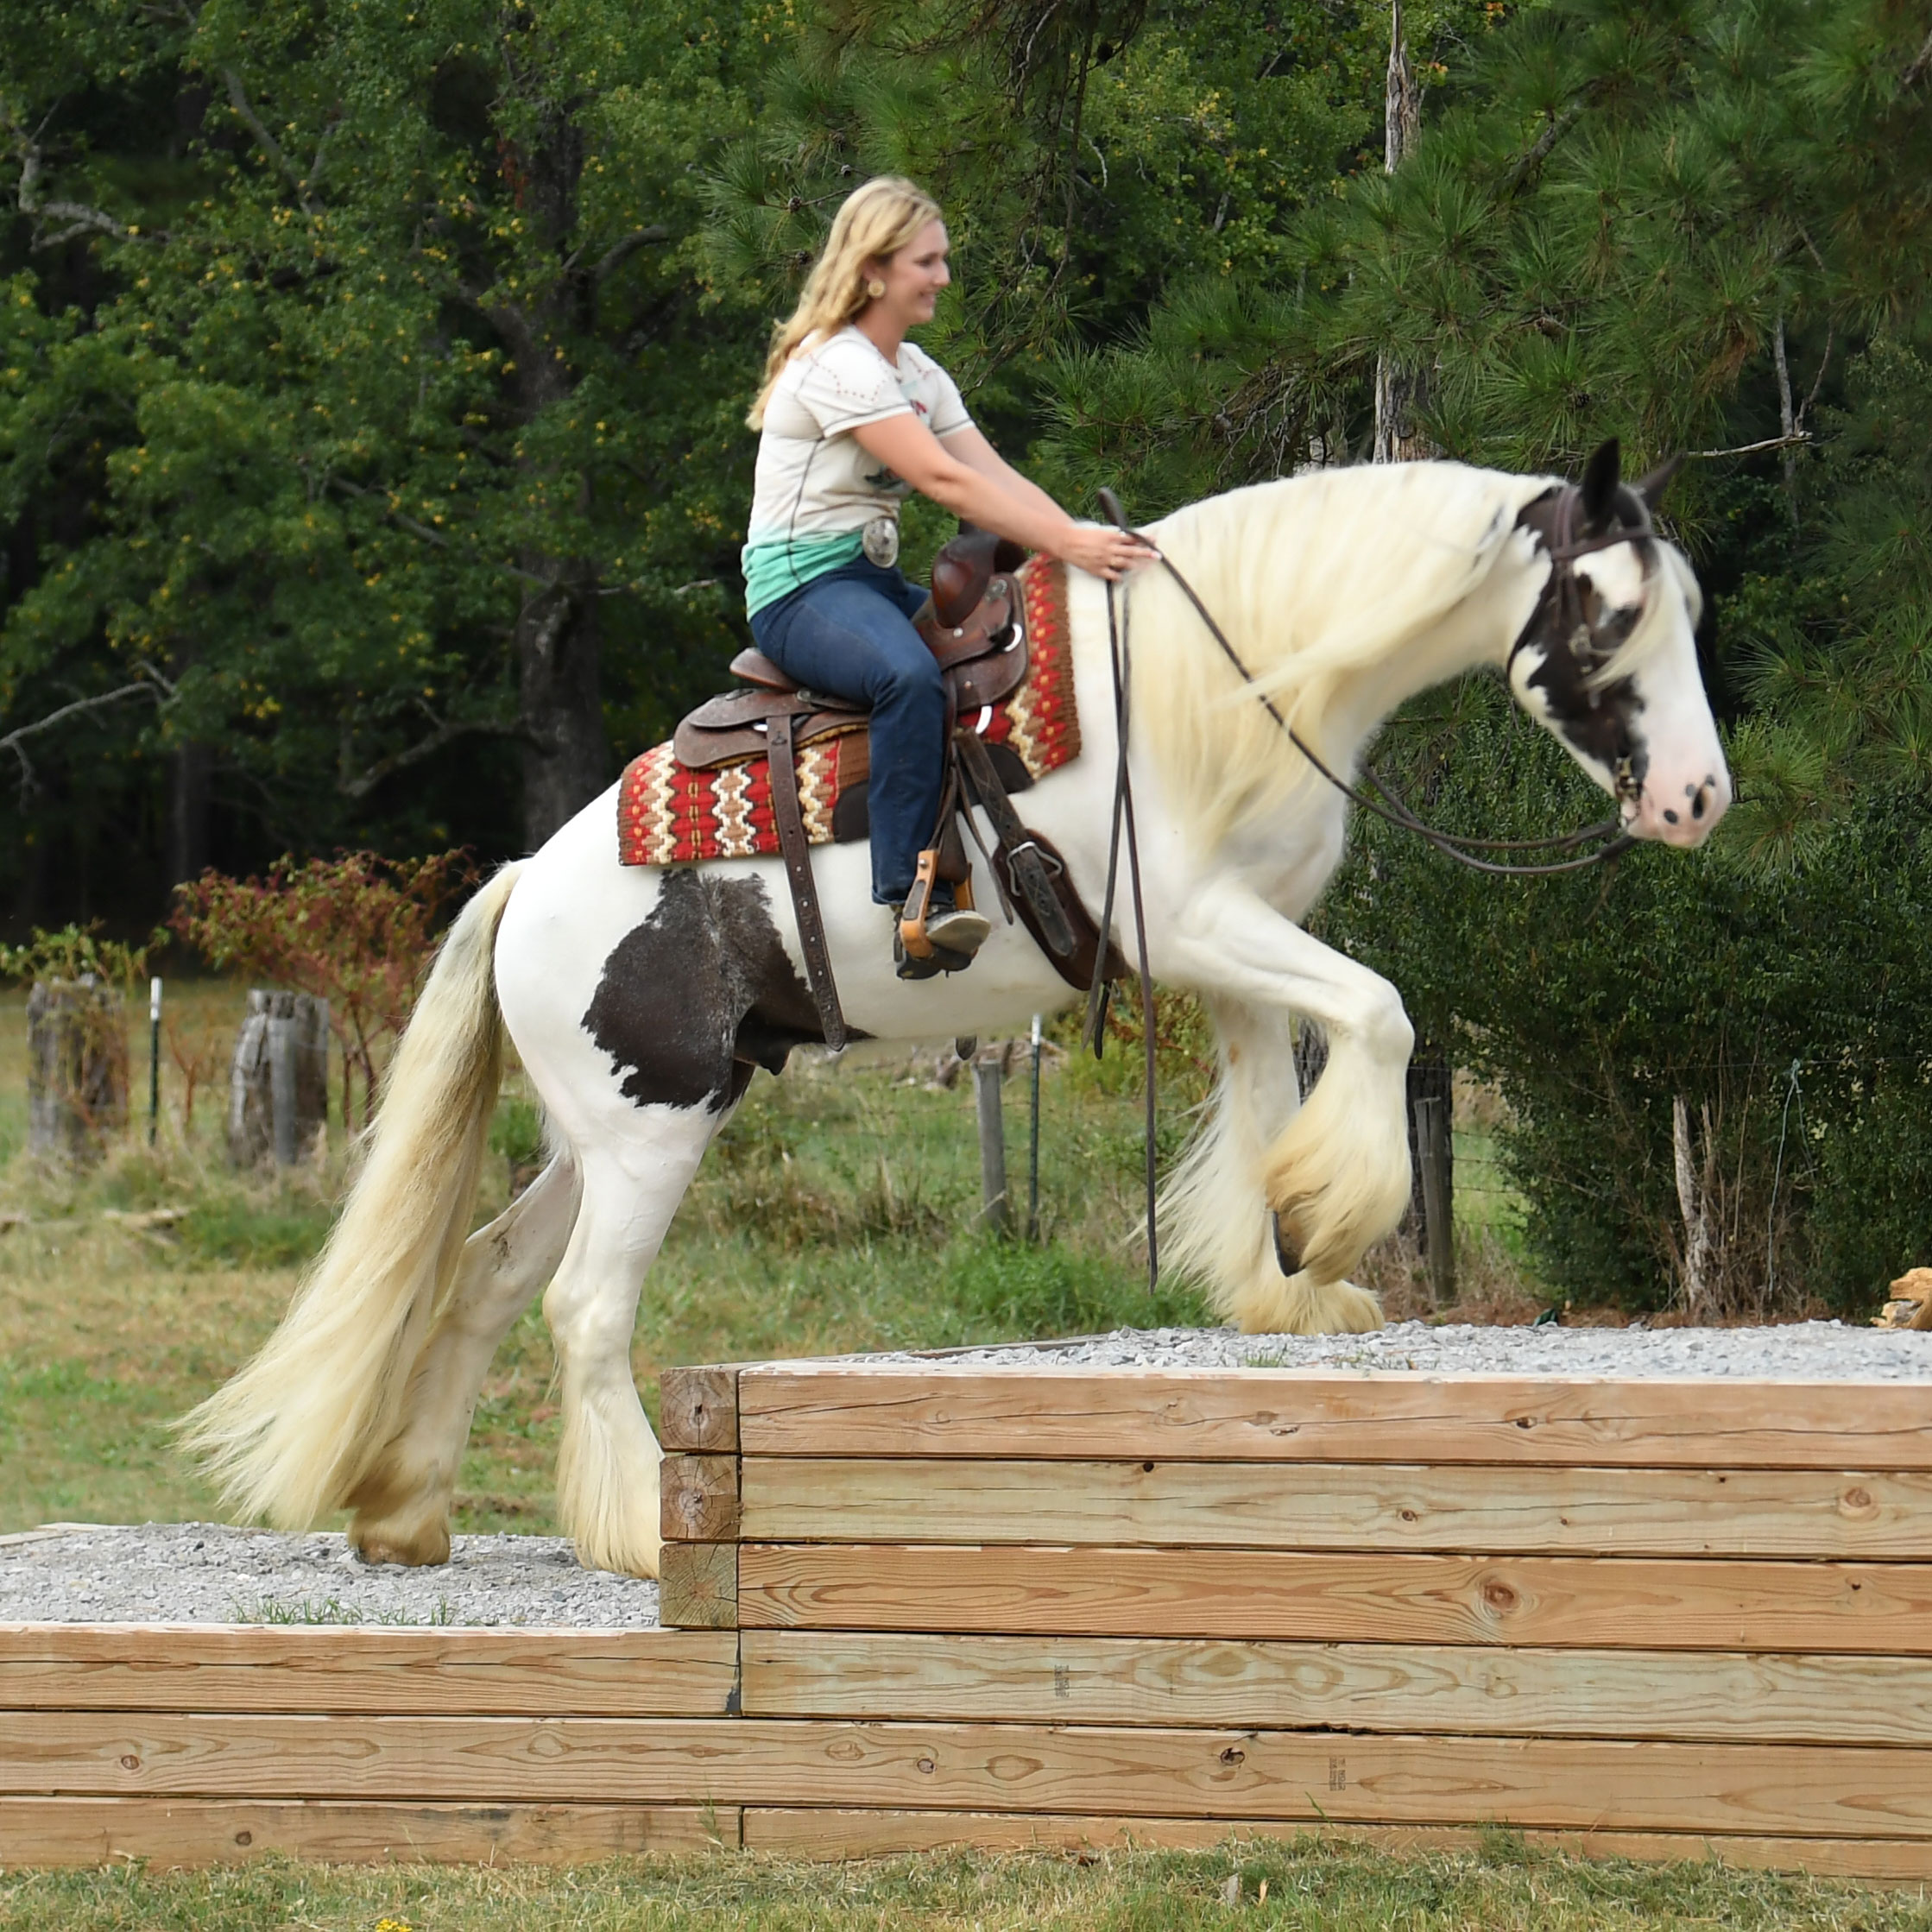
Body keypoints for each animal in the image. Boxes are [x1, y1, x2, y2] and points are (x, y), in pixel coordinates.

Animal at [182, 442, 1730, 1580]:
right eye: (1605, 613)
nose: (1692, 799)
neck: (1218, 683)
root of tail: (519, 886)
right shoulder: (1195, 922)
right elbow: (1385, 1013)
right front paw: (1332, 1225)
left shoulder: (1235, 953)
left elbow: (1275, 1095)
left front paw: (1285, 1273)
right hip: (645, 1135)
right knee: (580, 1308)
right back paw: (627, 1529)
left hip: (605, 1128)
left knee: (488, 1275)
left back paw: (405, 1510)